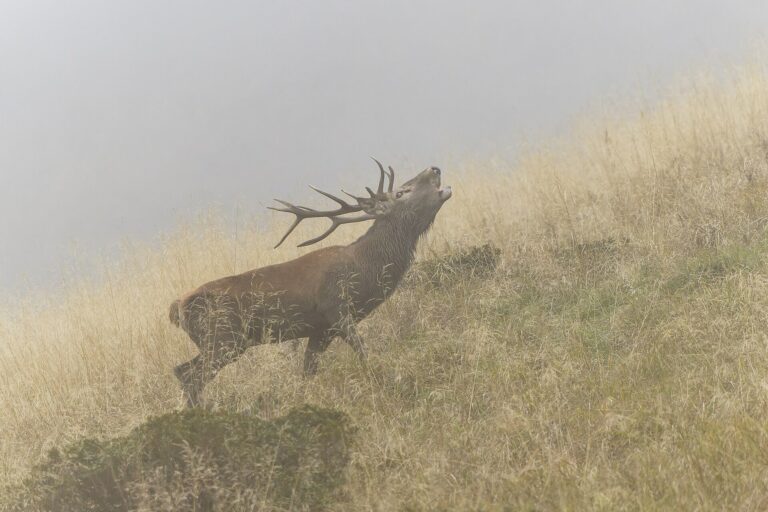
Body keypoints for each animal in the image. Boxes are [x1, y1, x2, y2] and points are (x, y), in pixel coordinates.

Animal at [169, 160, 452, 406]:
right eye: (401, 192)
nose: (434, 168)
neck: (364, 269)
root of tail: (177, 307)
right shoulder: (337, 309)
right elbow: (362, 352)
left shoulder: (320, 330)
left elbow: (307, 372)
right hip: (223, 337)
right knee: (190, 376)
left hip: (218, 341)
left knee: (182, 371)